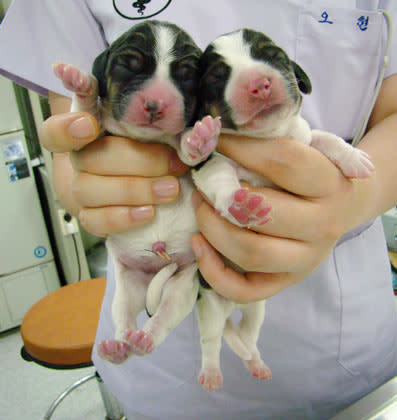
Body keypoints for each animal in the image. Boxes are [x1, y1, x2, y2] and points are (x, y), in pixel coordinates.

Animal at [52, 21, 220, 364]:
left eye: (185, 74)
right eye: (129, 65)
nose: (155, 105)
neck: (149, 138)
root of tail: (153, 269)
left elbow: (190, 153)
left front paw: (200, 138)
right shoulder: (91, 139)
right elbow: (85, 115)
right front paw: (81, 85)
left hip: (182, 284)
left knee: (165, 315)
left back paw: (144, 339)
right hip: (126, 285)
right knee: (123, 316)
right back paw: (118, 346)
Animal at [190, 28, 372, 390]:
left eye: (272, 56)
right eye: (218, 76)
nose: (259, 84)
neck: (267, 136)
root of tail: (233, 301)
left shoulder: (304, 141)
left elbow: (325, 138)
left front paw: (353, 157)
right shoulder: (211, 165)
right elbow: (220, 176)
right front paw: (239, 203)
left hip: (256, 309)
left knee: (248, 337)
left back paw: (255, 361)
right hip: (210, 305)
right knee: (212, 342)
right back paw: (211, 374)